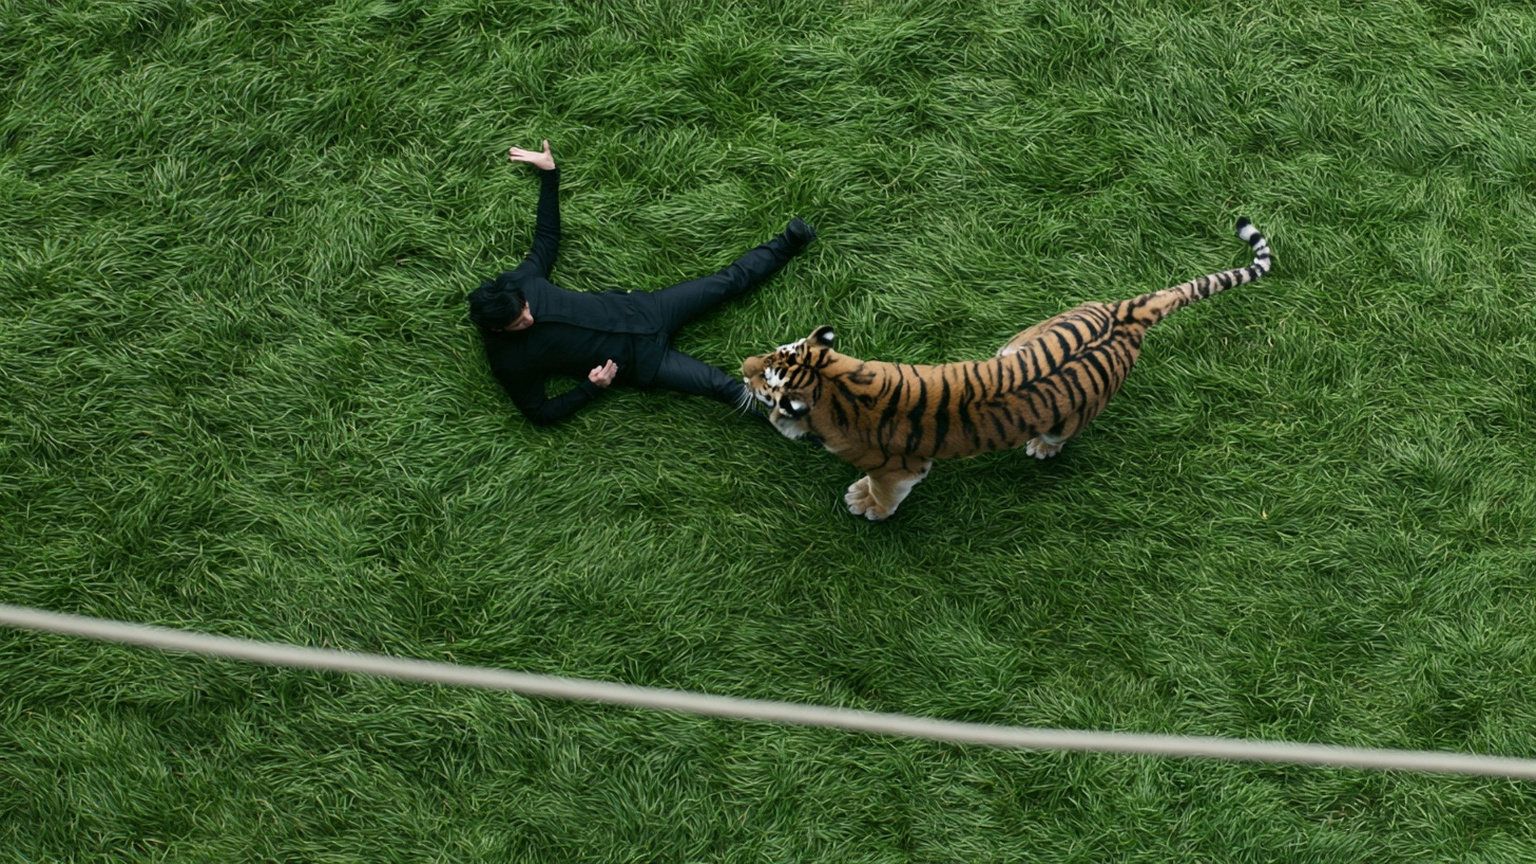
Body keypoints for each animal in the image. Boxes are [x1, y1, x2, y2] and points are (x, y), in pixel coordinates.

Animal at [740, 218, 1273, 520]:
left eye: (763, 378)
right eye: (769, 356)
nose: (742, 364)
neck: (833, 383)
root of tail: (1126, 315)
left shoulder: (900, 470)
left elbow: (884, 491)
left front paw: (867, 507)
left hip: (1070, 416)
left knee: (1060, 434)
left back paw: (1041, 447)